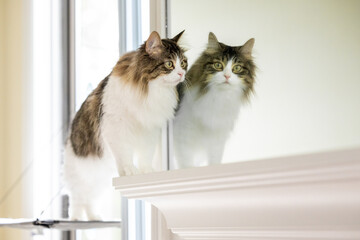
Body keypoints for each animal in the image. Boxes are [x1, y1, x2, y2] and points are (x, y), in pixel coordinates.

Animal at [64, 30, 187, 219]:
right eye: (169, 64)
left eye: (184, 63)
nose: (182, 74)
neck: (150, 92)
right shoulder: (116, 128)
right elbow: (125, 155)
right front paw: (130, 171)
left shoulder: (150, 131)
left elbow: (145, 156)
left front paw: (146, 171)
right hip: (82, 175)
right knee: (78, 199)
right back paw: (78, 219)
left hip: (99, 180)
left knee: (88, 199)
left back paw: (94, 217)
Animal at [174, 32, 256, 169]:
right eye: (218, 65)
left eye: (237, 68)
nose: (227, 76)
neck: (218, 98)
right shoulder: (184, 133)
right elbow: (187, 162)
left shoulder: (217, 139)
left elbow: (215, 160)